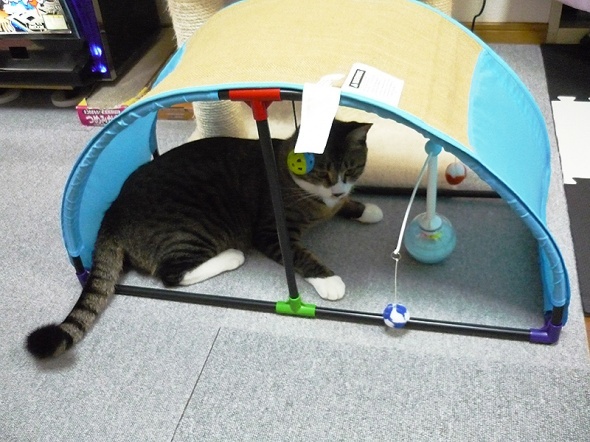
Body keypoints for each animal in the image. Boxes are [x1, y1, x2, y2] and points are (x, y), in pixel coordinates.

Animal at [26, 120, 383, 358]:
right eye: (322, 172)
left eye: (351, 169)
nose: (337, 189)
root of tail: (112, 212)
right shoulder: (270, 231)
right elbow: (302, 256)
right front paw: (329, 280)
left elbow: (345, 205)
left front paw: (366, 209)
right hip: (192, 229)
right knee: (171, 274)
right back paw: (232, 256)